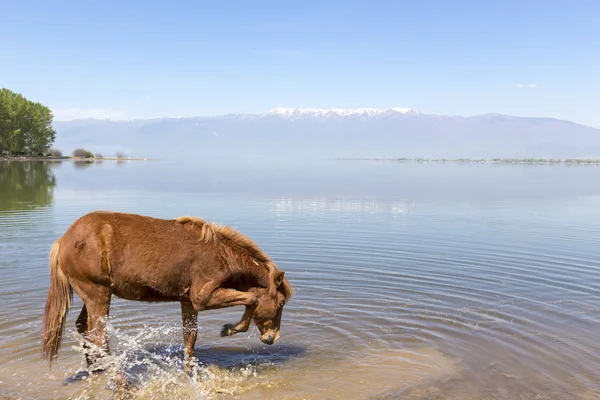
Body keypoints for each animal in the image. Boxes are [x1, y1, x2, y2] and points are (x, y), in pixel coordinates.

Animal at [41, 211, 294, 374]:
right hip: (98, 296)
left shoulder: (188, 301)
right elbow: (252, 298)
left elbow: (190, 337)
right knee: (99, 337)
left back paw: (97, 370)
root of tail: (62, 241)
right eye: (281, 303)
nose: (272, 338)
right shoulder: (202, 298)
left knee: (83, 328)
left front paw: (189, 373)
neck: (221, 255)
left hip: (91, 297)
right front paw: (230, 329)